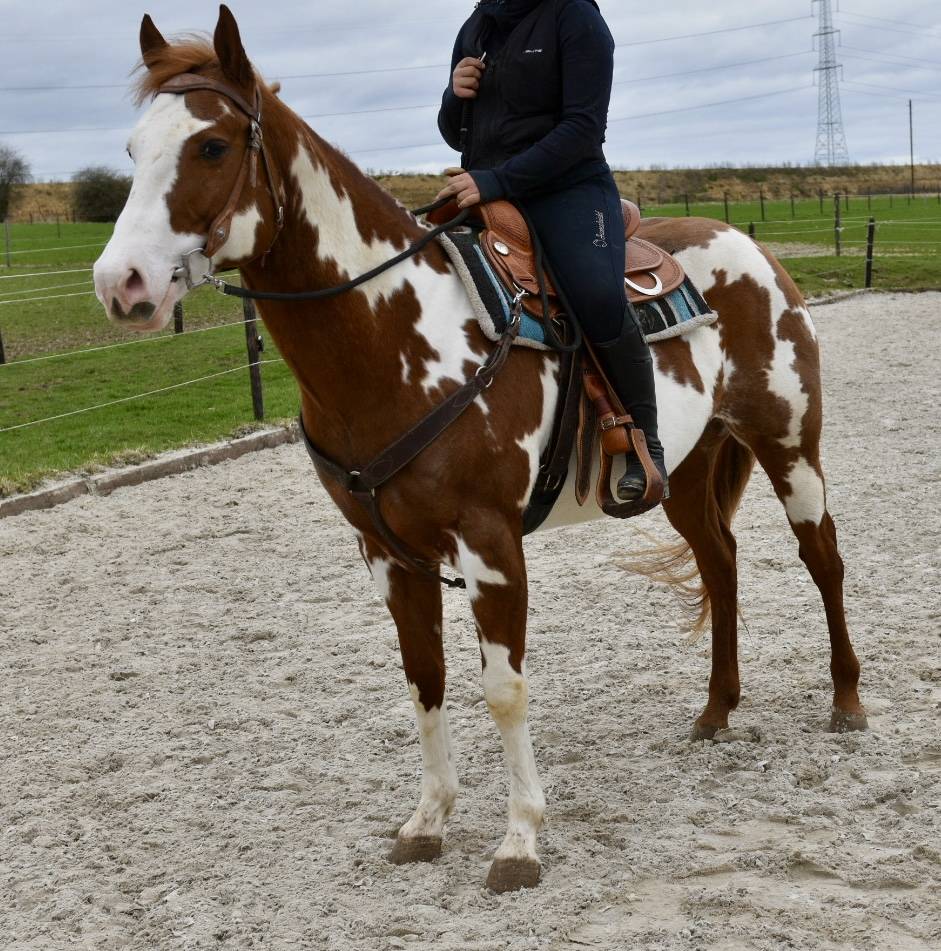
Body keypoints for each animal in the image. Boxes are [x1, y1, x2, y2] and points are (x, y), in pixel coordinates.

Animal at [92, 6, 867, 893]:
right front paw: (427, 821)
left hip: (787, 442)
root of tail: (749, 248)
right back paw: (714, 710)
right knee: (720, 562)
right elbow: (423, 680)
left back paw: (846, 701)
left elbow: (503, 688)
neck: (396, 332)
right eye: (133, 149)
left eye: (213, 146)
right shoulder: (387, 551)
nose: (120, 282)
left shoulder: (490, 542)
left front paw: (519, 839)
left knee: (821, 556)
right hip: (684, 470)